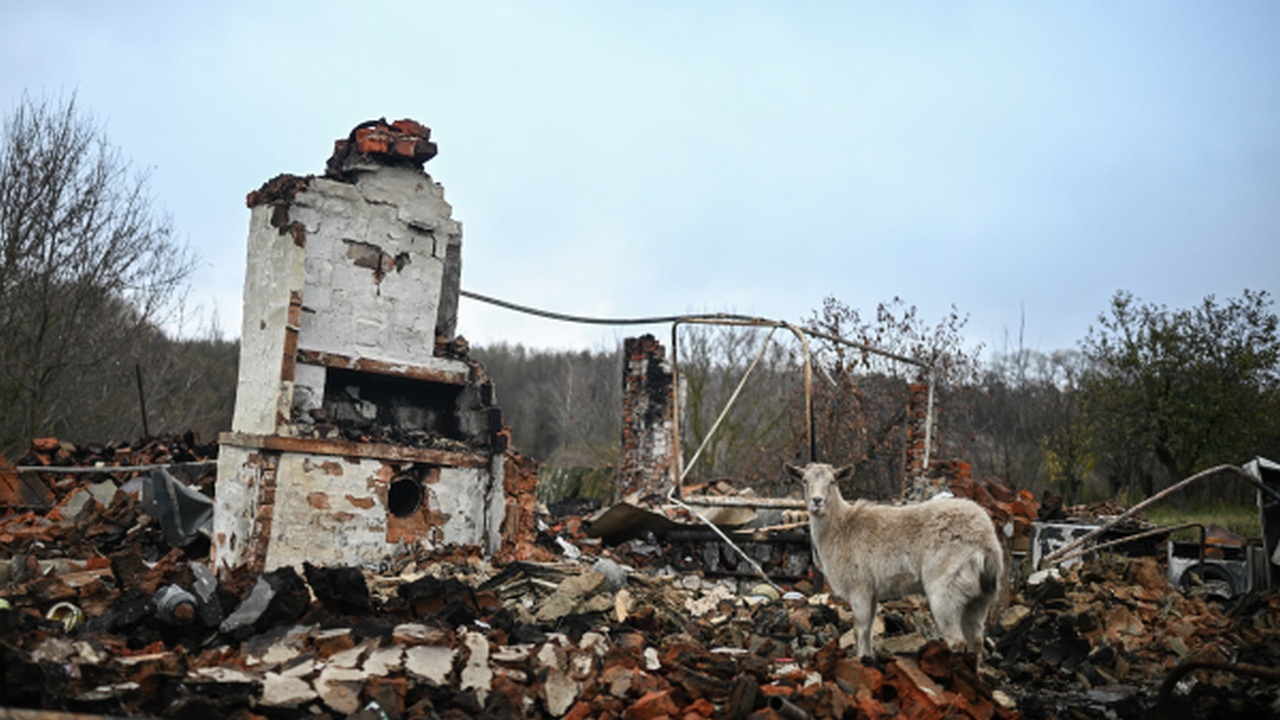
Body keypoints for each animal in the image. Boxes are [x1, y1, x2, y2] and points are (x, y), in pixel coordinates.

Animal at [783, 458, 1003, 655]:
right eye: (804, 481)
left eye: (832, 481)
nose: (816, 502)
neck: (840, 527)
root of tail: (987, 542)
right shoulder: (872, 591)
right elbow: (868, 630)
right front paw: (868, 658)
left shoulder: (859, 586)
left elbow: (859, 630)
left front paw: (861, 659)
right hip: (979, 597)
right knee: (976, 641)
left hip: (946, 587)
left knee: (957, 641)